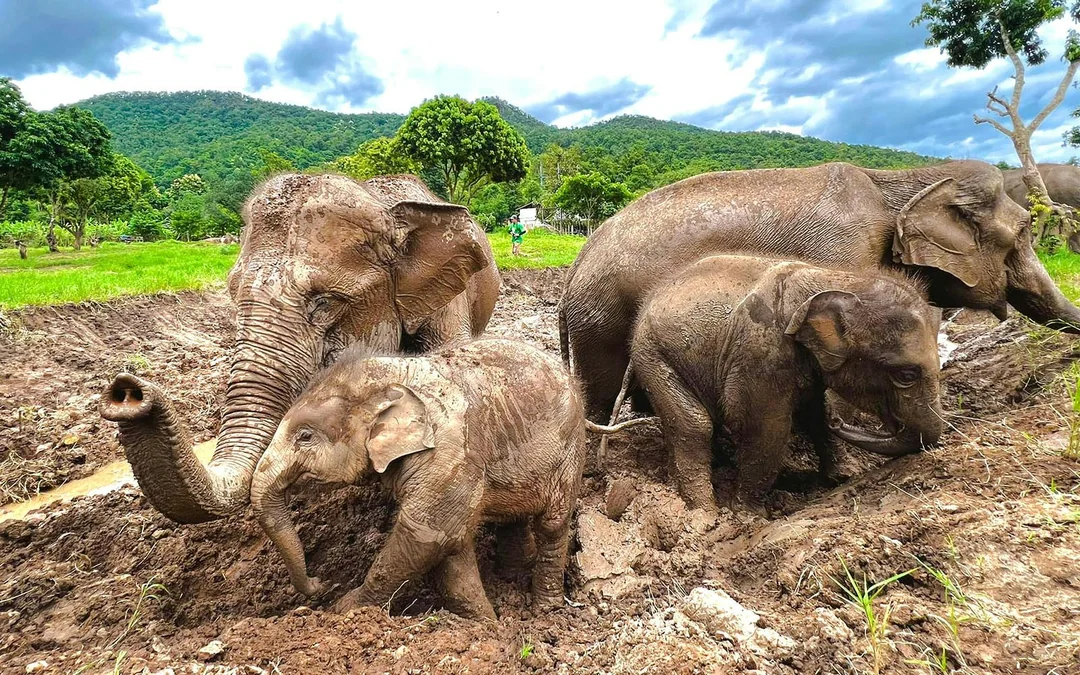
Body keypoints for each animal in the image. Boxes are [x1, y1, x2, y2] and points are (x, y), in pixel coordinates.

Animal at [248, 338, 598, 620]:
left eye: (305, 436)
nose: (321, 582)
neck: (393, 373)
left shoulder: (449, 455)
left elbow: (429, 535)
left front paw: (343, 610)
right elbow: (452, 546)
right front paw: (486, 622)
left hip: (569, 450)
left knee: (552, 524)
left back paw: (545, 610)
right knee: (514, 517)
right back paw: (510, 577)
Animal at [559, 160, 1080, 420]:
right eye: (1024, 232)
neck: (898, 181)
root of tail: (576, 263)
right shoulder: (846, 252)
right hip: (599, 319)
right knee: (602, 388)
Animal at [615, 255, 943, 515]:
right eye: (906, 375)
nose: (840, 421)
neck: (833, 277)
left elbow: (813, 412)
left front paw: (841, 477)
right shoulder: (760, 352)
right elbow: (763, 425)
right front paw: (749, 515)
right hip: (653, 355)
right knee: (694, 425)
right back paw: (704, 514)